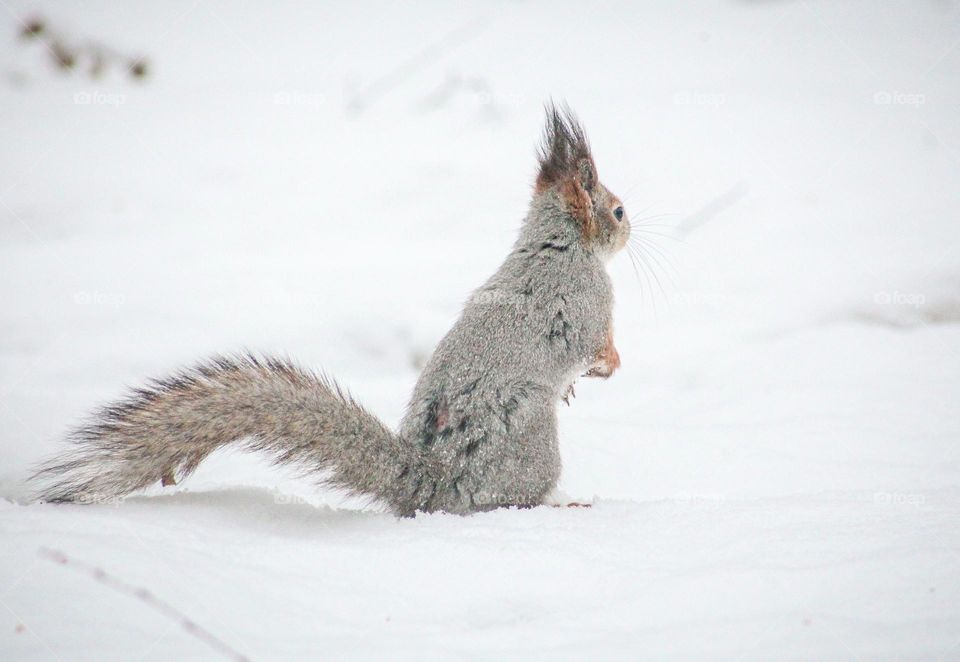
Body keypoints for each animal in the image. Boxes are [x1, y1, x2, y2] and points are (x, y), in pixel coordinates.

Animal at [31, 104, 632, 520]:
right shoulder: (588, 304)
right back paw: (561, 503)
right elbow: (593, 346)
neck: (558, 244)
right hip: (532, 442)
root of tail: (434, 481)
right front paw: (609, 366)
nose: (631, 231)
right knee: (507, 500)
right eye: (619, 210)